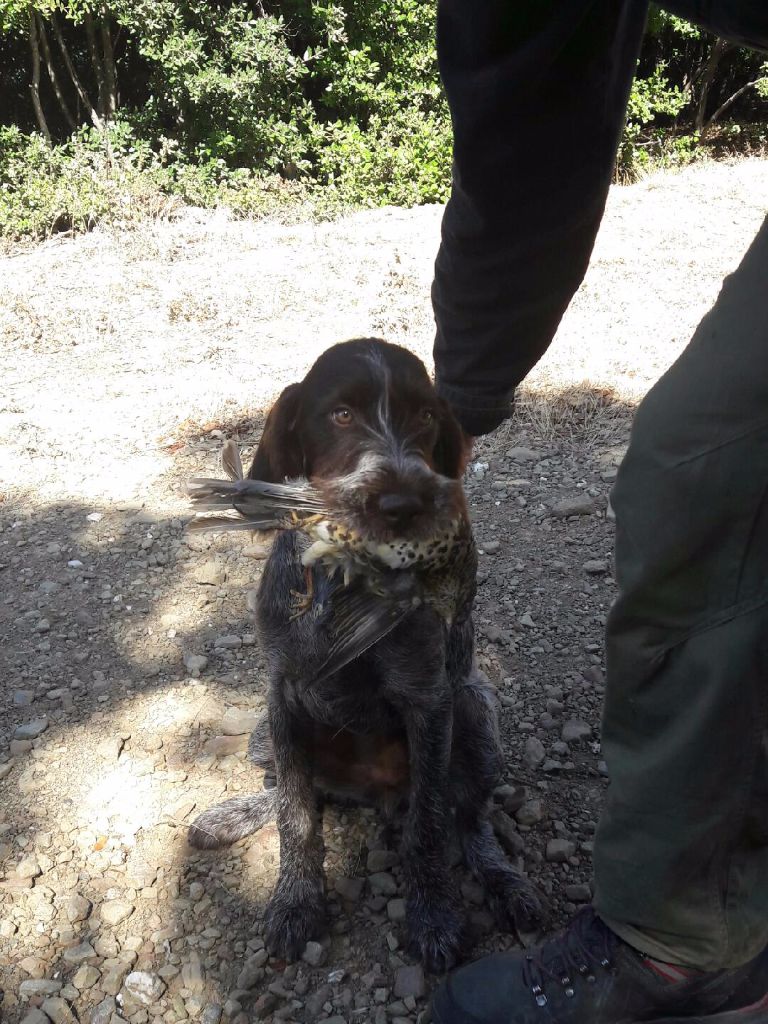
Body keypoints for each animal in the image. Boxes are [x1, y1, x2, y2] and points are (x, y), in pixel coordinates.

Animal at [188, 339, 544, 970]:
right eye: (341, 415)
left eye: (425, 415)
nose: (403, 504)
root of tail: (370, 795)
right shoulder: (283, 693)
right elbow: (296, 815)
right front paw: (295, 900)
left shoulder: (429, 702)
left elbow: (429, 825)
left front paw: (434, 915)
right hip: (263, 733)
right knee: (293, 789)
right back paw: (235, 814)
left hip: (475, 713)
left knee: (471, 820)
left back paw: (505, 881)